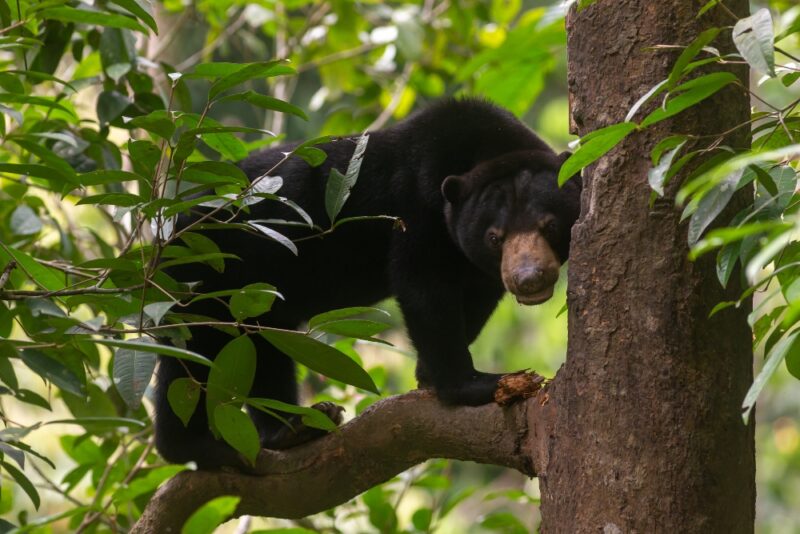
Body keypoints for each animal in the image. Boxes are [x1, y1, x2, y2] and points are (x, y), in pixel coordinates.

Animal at [154, 98, 582, 470]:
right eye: (495, 236)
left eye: (549, 225)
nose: (529, 278)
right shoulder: (415, 210)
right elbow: (424, 289)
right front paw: (476, 384)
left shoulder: (471, 261)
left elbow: (474, 299)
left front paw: (428, 372)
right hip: (207, 267)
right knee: (192, 344)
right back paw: (198, 448)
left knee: (263, 341)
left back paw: (295, 428)